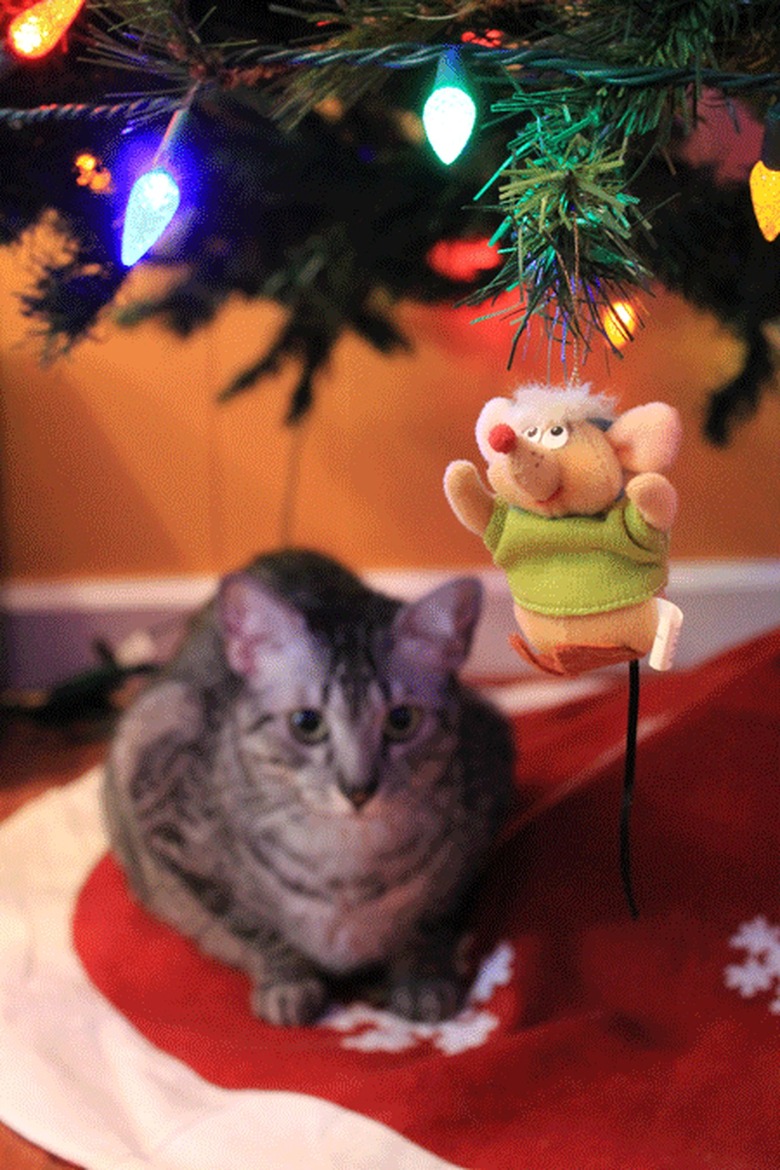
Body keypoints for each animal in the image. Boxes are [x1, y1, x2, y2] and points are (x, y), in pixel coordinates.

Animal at [103, 547, 519, 1024]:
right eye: (307, 723)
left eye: (402, 721)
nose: (358, 789)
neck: (347, 869)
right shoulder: (163, 814)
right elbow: (250, 925)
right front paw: (287, 980)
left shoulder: (483, 804)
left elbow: (433, 918)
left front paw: (421, 979)